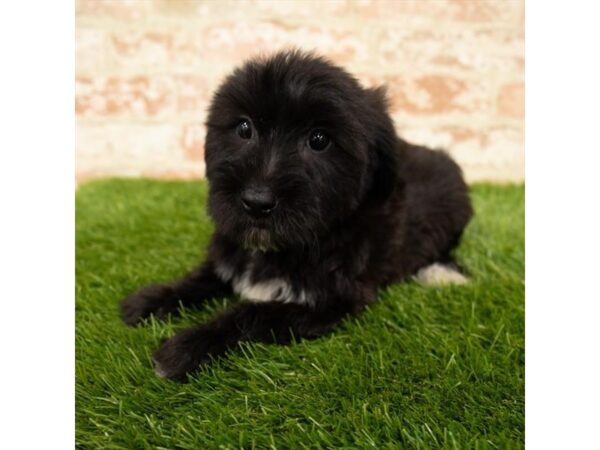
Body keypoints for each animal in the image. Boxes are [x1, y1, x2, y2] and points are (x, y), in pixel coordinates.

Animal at [119, 50, 472, 380]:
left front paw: (186, 347)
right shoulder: (229, 252)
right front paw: (150, 300)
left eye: (319, 140)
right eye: (244, 128)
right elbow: (201, 278)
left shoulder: (329, 301)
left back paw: (442, 273)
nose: (256, 201)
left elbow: (251, 314)